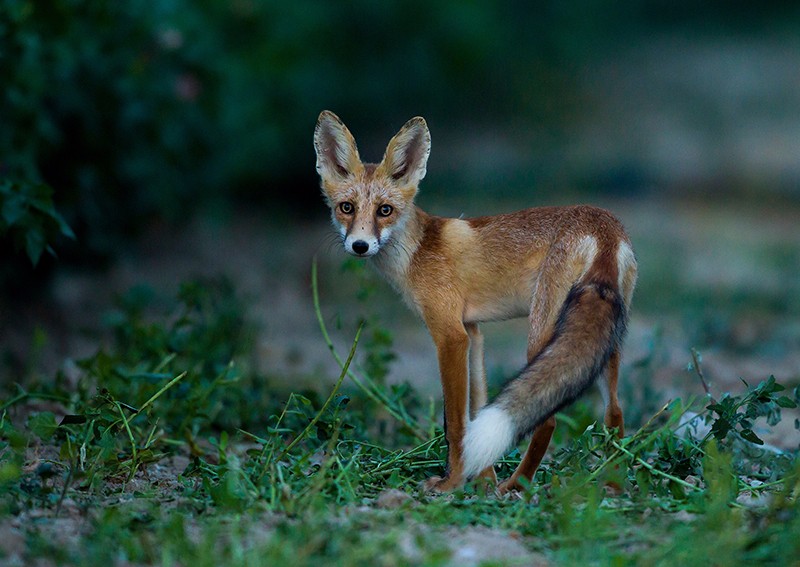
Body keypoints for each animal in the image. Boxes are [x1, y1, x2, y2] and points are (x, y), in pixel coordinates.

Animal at [312, 111, 636, 492]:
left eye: (385, 210)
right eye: (346, 208)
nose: (360, 245)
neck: (416, 253)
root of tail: (602, 225)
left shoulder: (450, 335)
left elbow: (456, 422)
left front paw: (452, 483)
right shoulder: (473, 331)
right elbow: (477, 408)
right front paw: (481, 479)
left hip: (542, 332)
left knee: (548, 420)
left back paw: (517, 487)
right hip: (606, 341)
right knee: (614, 412)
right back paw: (613, 486)